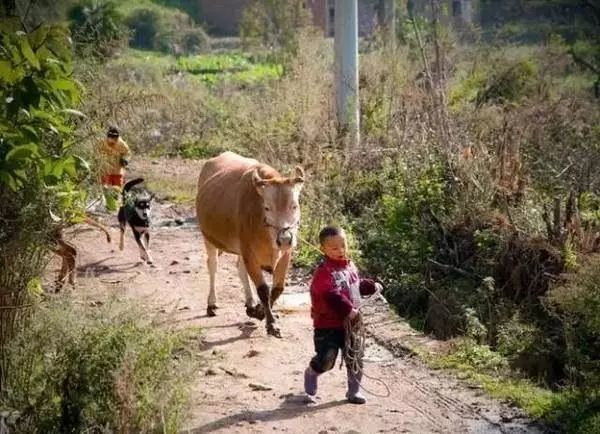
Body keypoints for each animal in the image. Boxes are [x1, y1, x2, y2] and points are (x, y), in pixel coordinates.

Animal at [197, 151, 304, 338]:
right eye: (267, 207)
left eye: (294, 206)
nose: (285, 238)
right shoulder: (249, 253)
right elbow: (263, 289)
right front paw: (270, 323)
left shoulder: (285, 254)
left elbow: (277, 289)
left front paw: (260, 311)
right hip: (209, 238)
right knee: (213, 266)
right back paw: (211, 304)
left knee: (240, 268)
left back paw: (250, 302)